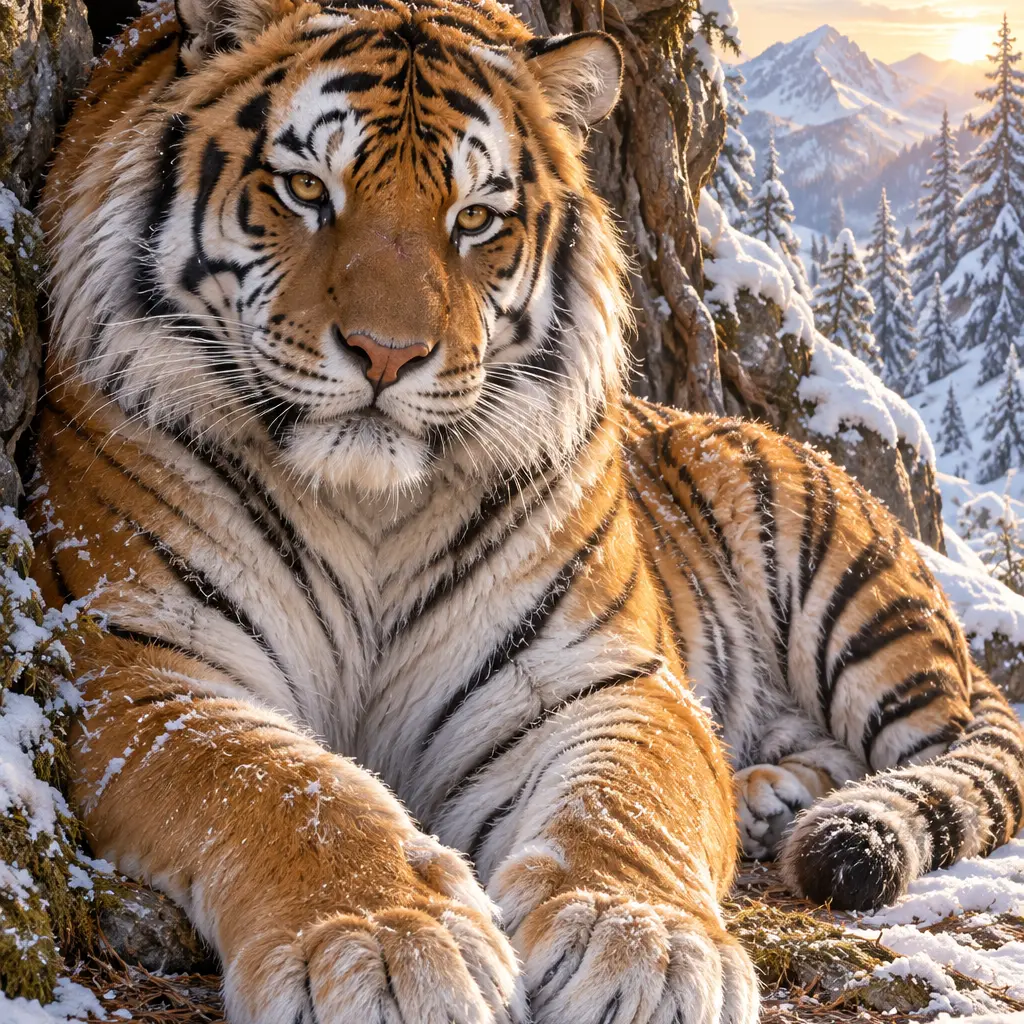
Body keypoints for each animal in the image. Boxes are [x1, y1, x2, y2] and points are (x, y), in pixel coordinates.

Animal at [29, 0, 1024, 1021]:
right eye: (306, 188)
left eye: (476, 218)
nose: (388, 354)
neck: (368, 510)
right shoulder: (147, 665)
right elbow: (285, 785)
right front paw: (385, 946)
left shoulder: (591, 675)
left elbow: (623, 798)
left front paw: (640, 945)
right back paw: (767, 793)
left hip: (848, 593)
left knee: (944, 741)